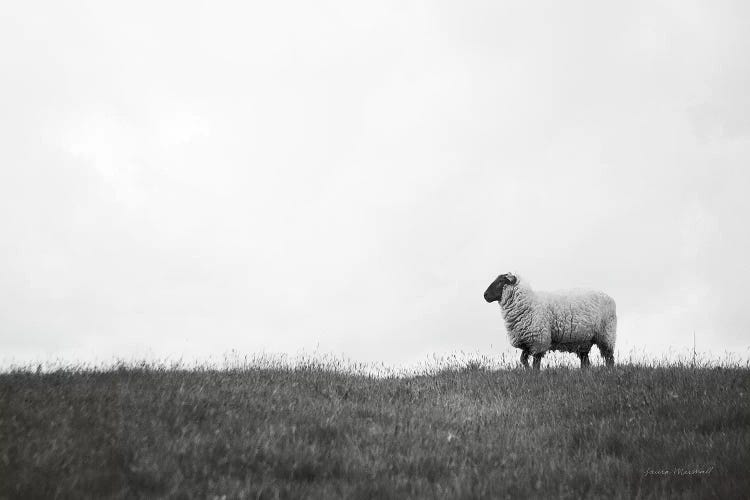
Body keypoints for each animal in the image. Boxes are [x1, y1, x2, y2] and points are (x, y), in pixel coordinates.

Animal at [484, 272, 620, 370]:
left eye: (501, 281)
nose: (484, 295)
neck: (529, 303)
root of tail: (610, 298)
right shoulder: (527, 341)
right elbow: (523, 359)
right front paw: (527, 371)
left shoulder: (539, 340)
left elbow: (536, 363)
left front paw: (534, 373)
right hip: (584, 340)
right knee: (585, 361)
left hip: (606, 334)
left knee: (609, 358)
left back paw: (609, 371)